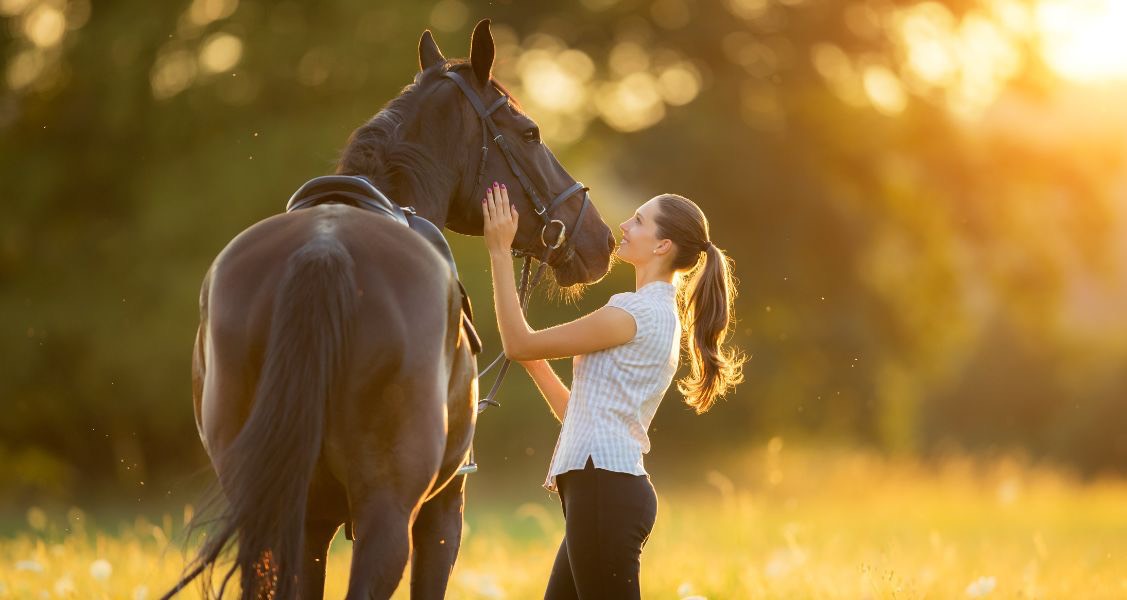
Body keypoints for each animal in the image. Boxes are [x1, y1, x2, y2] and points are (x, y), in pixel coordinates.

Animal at [169, 18, 617, 600]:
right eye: (530, 133)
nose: (601, 239)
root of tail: (324, 250)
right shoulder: (443, 511)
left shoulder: (311, 526)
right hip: (387, 516)